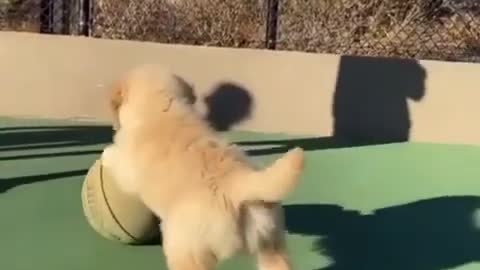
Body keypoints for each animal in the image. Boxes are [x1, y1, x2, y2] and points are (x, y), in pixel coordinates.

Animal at [101, 65, 306, 270]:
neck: (162, 105)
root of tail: (239, 181)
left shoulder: (128, 167)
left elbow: (116, 159)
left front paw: (106, 154)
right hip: (270, 241)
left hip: (185, 247)